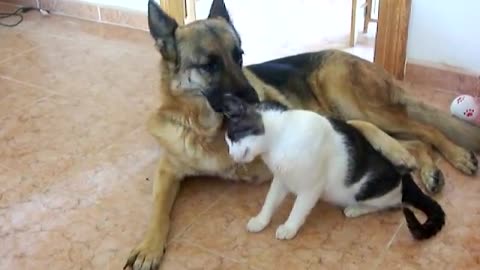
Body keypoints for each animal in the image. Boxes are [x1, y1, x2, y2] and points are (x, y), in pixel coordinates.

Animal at [222, 94, 446, 240]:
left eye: (233, 137)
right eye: (227, 143)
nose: (231, 155)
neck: (278, 143)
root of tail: (404, 178)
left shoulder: (311, 187)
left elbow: (298, 208)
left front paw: (289, 227)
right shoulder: (281, 179)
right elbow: (269, 202)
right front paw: (261, 220)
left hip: (370, 190)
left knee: (391, 204)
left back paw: (355, 209)